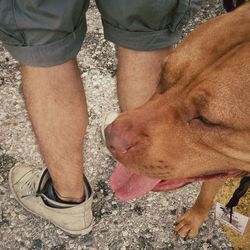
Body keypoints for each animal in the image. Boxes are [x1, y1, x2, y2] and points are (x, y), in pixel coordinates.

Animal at [104, 3, 250, 238]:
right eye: (162, 72)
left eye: (207, 120)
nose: (110, 138)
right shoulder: (223, 167)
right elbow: (206, 194)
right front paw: (194, 217)